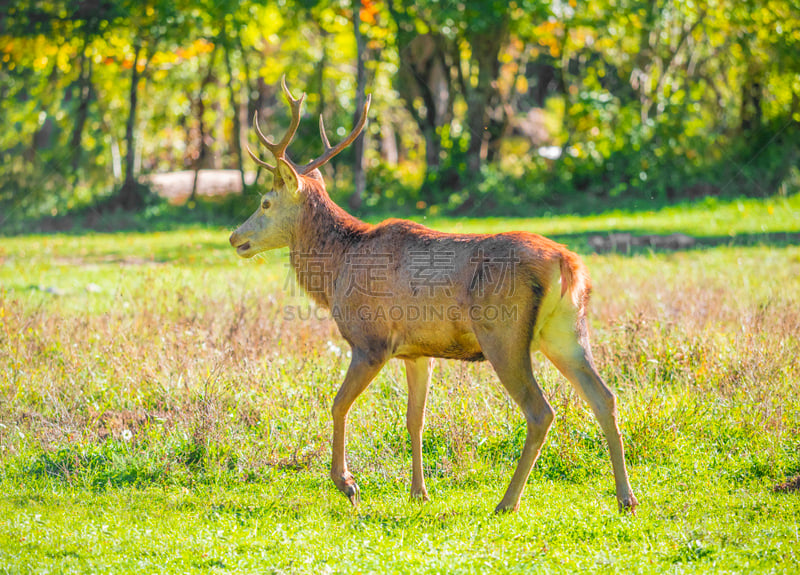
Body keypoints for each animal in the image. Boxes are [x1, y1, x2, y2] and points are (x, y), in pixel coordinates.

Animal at [227, 79, 636, 516]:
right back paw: (625, 497)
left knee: (541, 411)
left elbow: (338, 404)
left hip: (503, 334)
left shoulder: (370, 341)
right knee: (605, 397)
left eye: (265, 202)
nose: (235, 237)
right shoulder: (417, 351)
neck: (337, 269)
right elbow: (415, 418)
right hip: (566, 332)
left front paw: (347, 483)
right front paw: (418, 491)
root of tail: (568, 264)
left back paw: (507, 501)